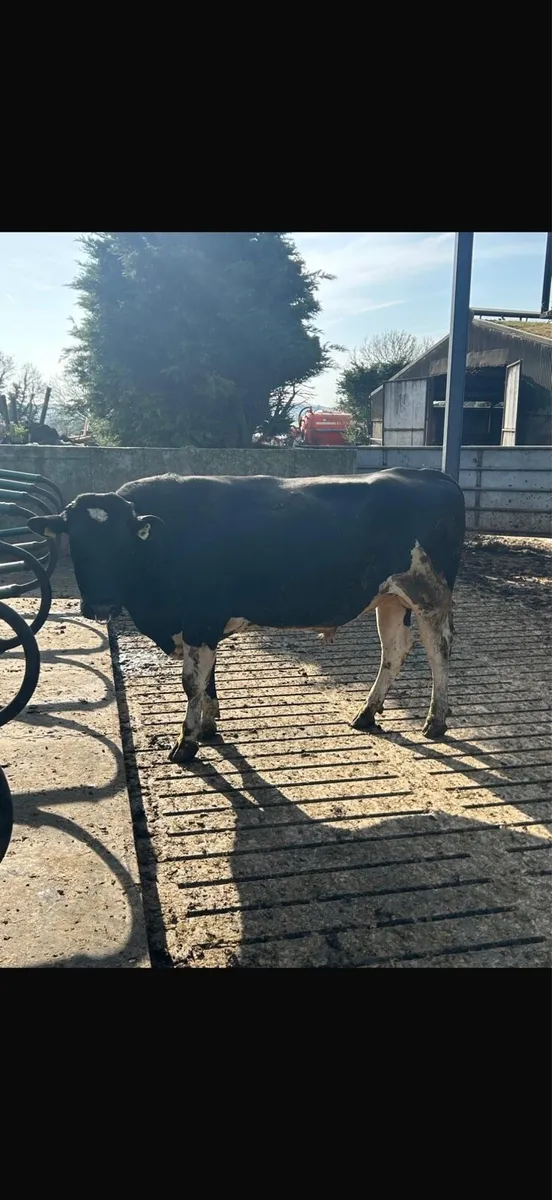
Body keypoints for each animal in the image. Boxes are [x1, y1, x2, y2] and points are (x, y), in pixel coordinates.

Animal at [28, 468, 465, 764]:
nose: (101, 605)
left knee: (438, 651)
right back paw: (367, 714)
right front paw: (208, 728)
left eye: (122, 543)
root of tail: (431, 474)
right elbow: (208, 679)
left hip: (430, 594)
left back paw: (435, 721)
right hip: (389, 598)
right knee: (394, 650)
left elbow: (191, 683)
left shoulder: (200, 618)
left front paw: (185, 744)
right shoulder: (201, 626)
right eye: (76, 539)